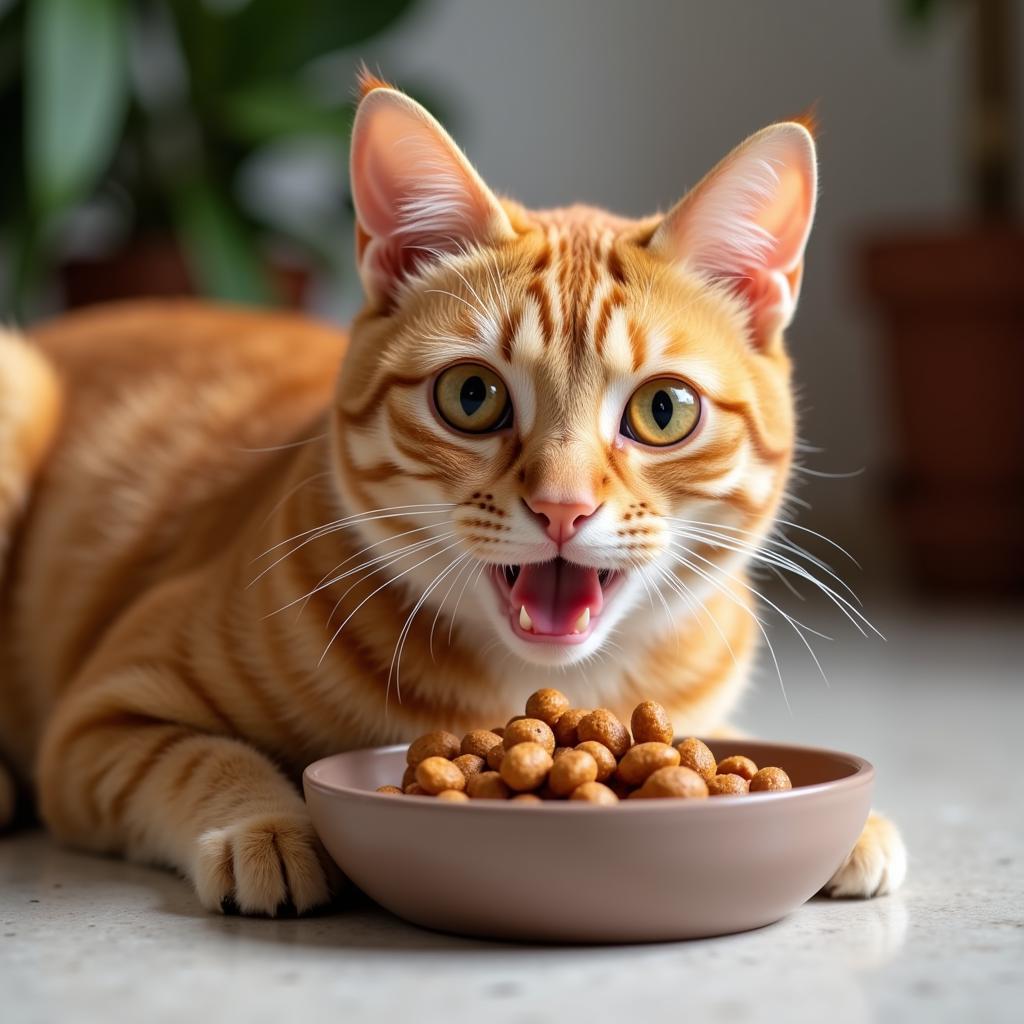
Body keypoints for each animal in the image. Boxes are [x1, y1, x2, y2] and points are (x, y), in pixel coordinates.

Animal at [0, 75, 905, 917]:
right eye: (472, 397)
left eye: (663, 410)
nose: (562, 507)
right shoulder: (101, 719)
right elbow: (204, 757)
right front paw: (271, 826)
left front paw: (851, 822)